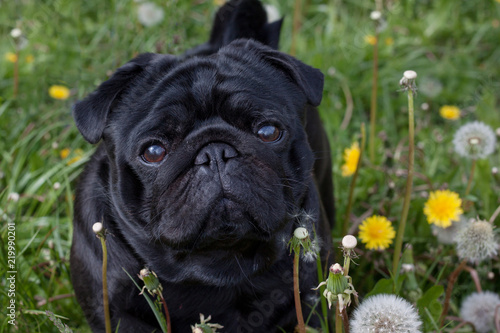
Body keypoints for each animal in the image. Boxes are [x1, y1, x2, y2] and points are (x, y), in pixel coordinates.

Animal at [70, 1, 334, 330]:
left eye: (268, 131)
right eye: (154, 151)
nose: (215, 153)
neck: (217, 262)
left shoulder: (311, 304)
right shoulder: (116, 315)